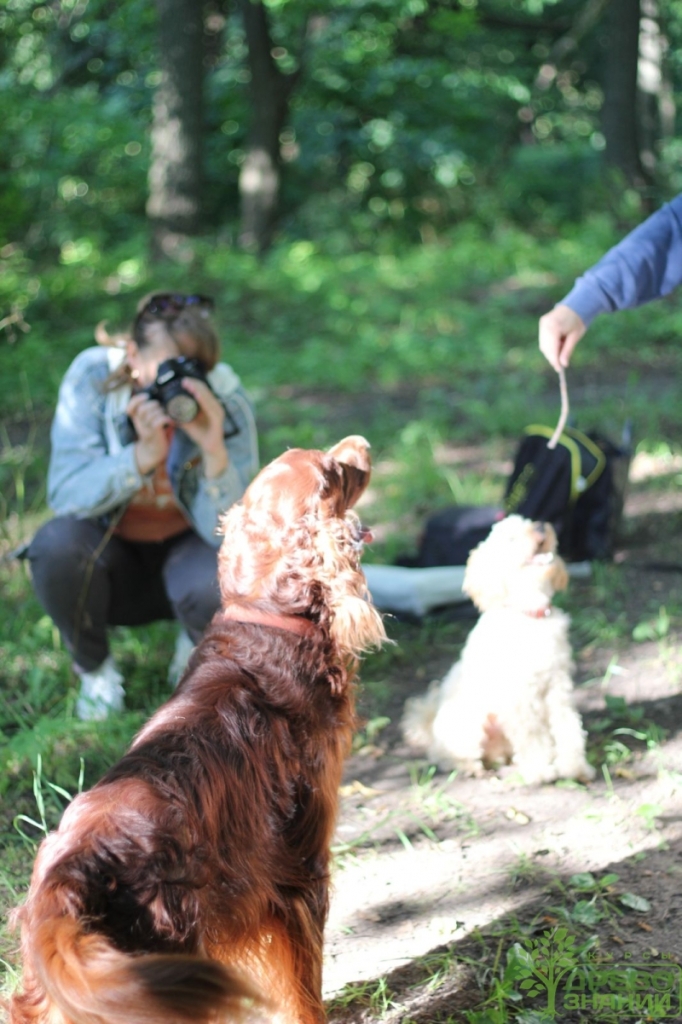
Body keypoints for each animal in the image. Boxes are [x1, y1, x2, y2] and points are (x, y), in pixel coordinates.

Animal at [9, 436, 382, 1024]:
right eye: (332, 472)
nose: (360, 444)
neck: (268, 621)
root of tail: (66, 882)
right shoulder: (301, 870)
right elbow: (304, 988)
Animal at [401, 516, 593, 786]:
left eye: (529, 521)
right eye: (510, 539)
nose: (541, 526)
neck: (529, 615)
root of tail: (430, 723)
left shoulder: (558, 687)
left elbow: (569, 727)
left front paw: (575, 767)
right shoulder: (520, 698)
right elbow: (533, 736)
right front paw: (540, 770)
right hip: (469, 725)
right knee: (445, 756)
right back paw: (472, 768)